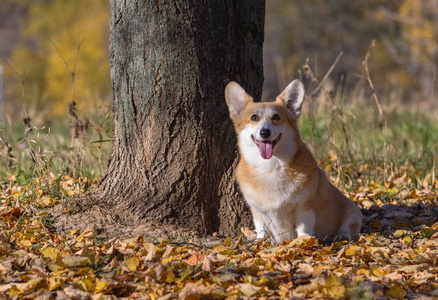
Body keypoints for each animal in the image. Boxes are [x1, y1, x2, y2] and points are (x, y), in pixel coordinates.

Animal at [224, 78, 362, 243]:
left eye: (276, 117)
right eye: (254, 118)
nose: (264, 132)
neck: (270, 167)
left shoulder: (305, 206)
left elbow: (303, 227)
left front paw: (303, 240)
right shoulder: (257, 210)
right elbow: (261, 227)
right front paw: (260, 240)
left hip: (353, 211)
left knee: (350, 228)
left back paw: (343, 235)